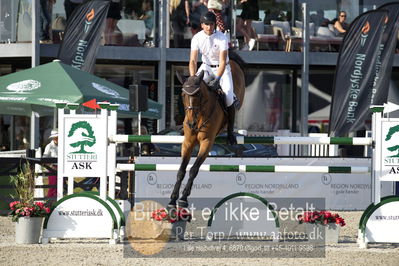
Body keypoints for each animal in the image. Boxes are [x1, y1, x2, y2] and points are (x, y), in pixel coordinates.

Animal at [170, 57, 245, 209]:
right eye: (183, 94)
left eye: (198, 94)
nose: (191, 124)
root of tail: (233, 62)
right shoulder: (188, 142)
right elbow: (181, 170)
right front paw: (172, 199)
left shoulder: (206, 142)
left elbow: (194, 169)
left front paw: (183, 198)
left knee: (232, 103)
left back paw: (230, 134)